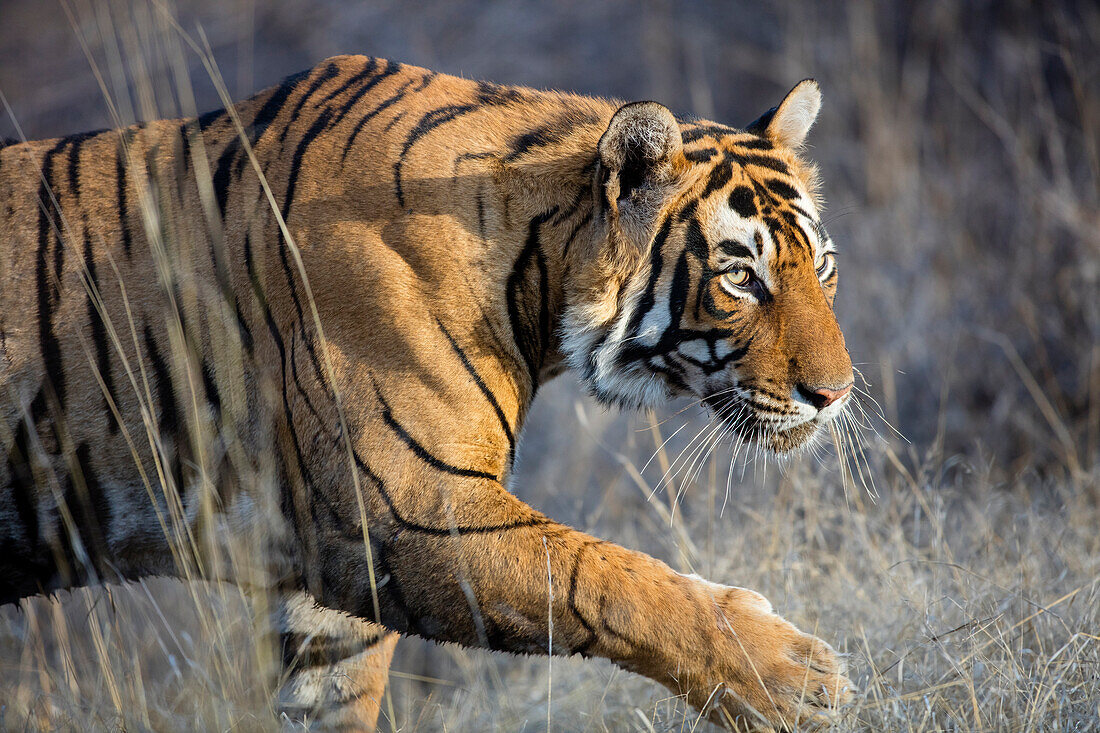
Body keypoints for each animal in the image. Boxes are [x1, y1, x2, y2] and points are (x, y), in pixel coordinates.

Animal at [0, 57, 853, 730]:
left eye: (822, 264)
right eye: (740, 277)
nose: (836, 393)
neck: (532, 264)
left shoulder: (329, 583)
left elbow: (332, 696)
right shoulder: (403, 507)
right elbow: (601, 576)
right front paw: (793, 676)